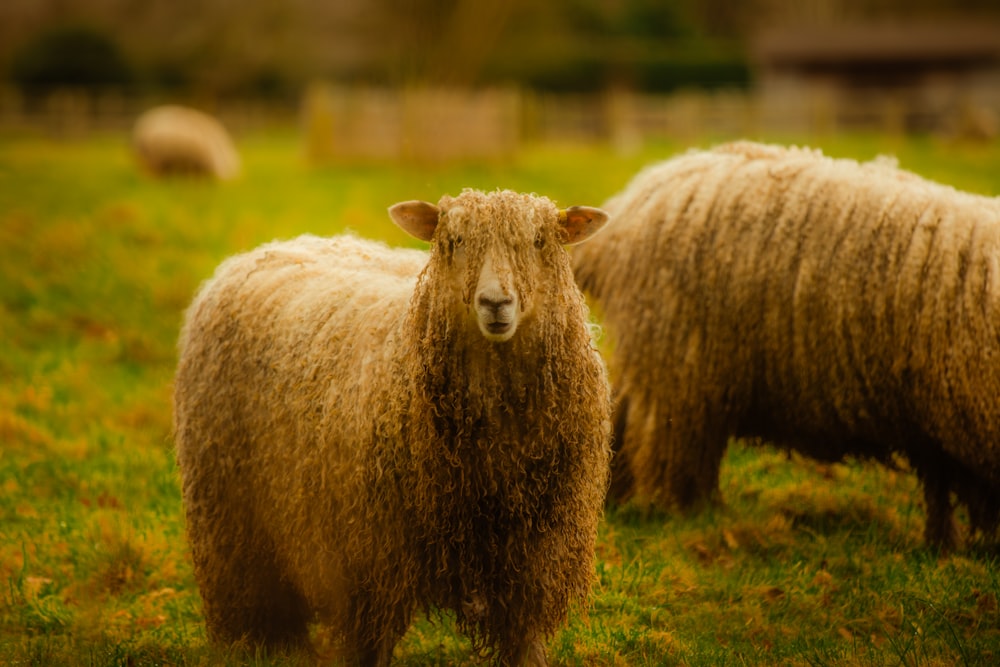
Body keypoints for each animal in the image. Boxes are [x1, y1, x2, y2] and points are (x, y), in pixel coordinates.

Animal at [173, 190, 612, 664]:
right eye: (453, 242)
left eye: (538, 242)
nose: (496, 303)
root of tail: (278, 245)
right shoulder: (372, 559)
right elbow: (370, 644)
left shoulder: (534, 556)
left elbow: (524, 638)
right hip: (229, 507)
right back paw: (259, 642)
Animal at [572, 140, 1000, 548]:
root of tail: (631, 204)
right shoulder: (959, 421)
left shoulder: (939, 425)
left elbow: (940, 486)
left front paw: (942, 543)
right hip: (676, 361)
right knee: (662, 441)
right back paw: (682, 509)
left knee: (629, 420)